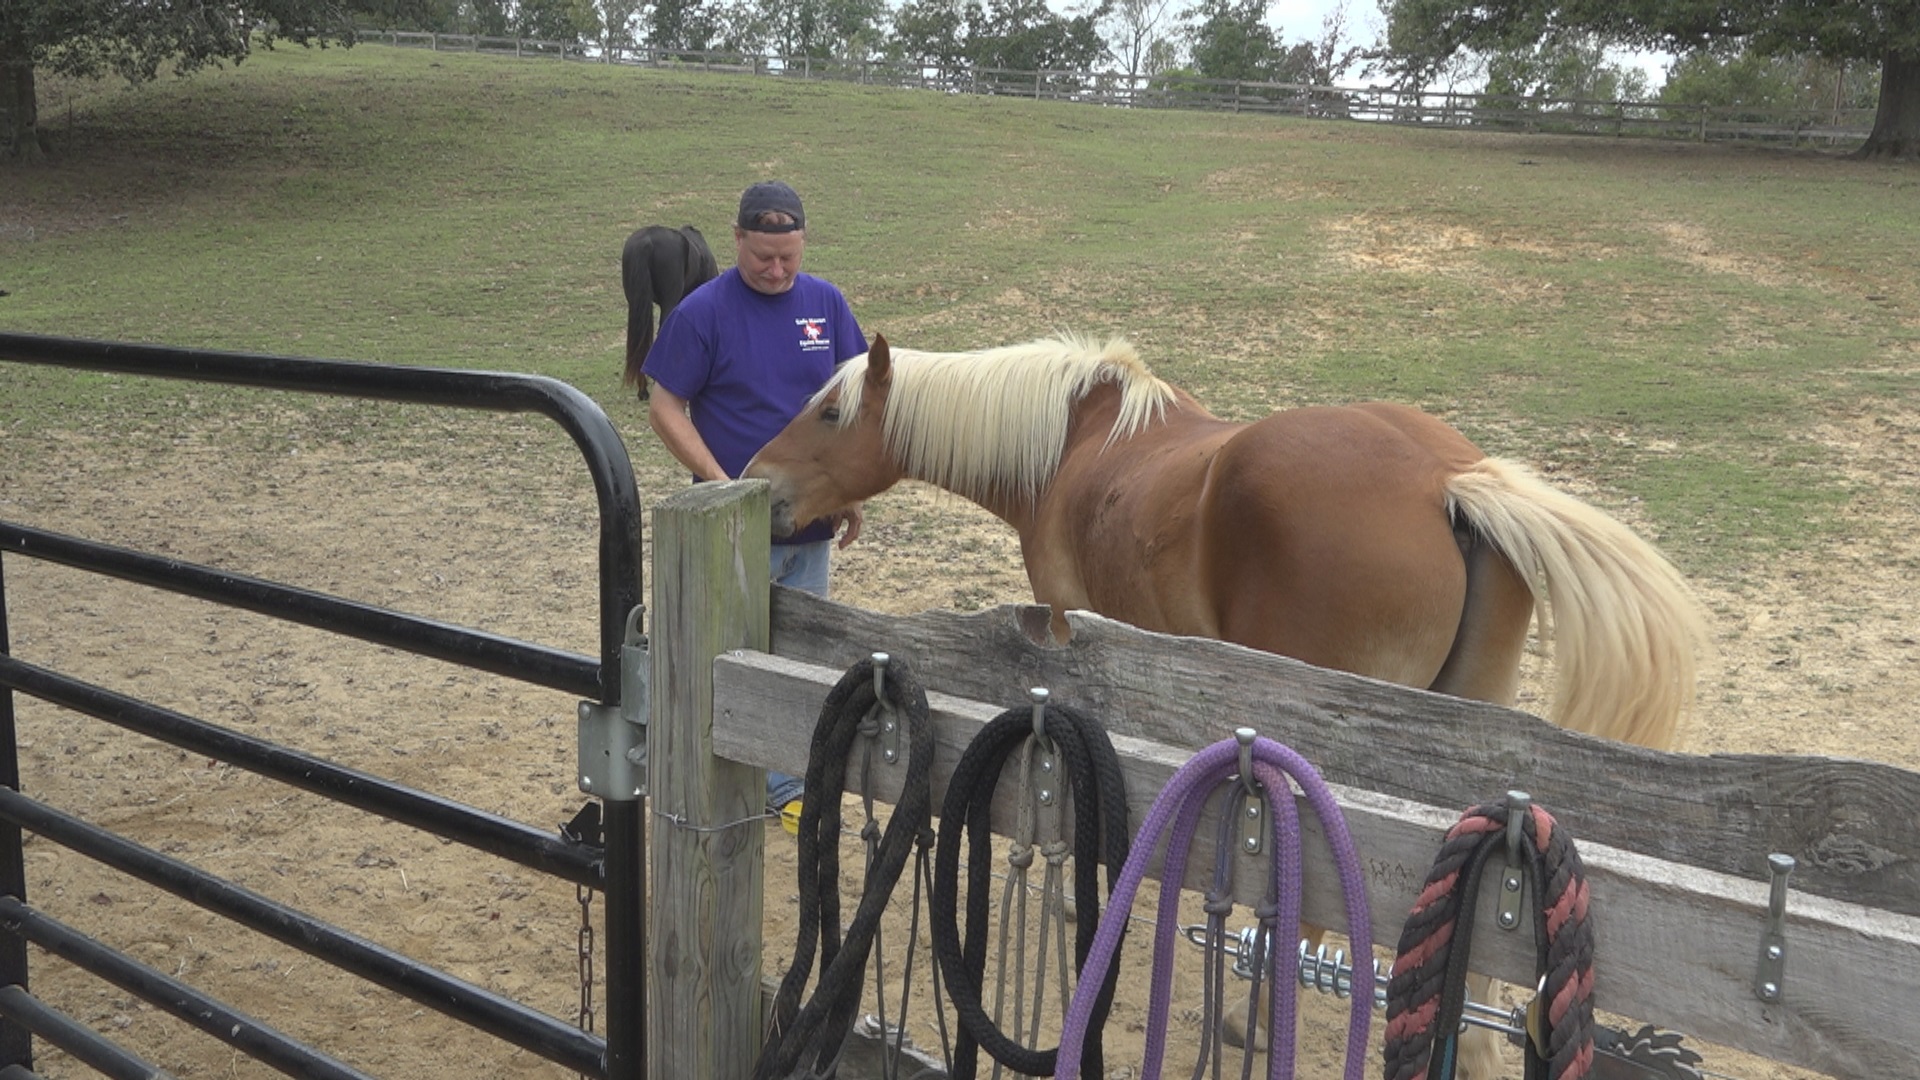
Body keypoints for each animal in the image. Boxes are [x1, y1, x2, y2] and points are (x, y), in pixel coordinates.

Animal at [743, 333, 1708, 1079]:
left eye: (829, 415)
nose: (761, 486)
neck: (1069, 445)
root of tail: (1451, 480)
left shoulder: (1065, 630)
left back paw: (1254, 1013)